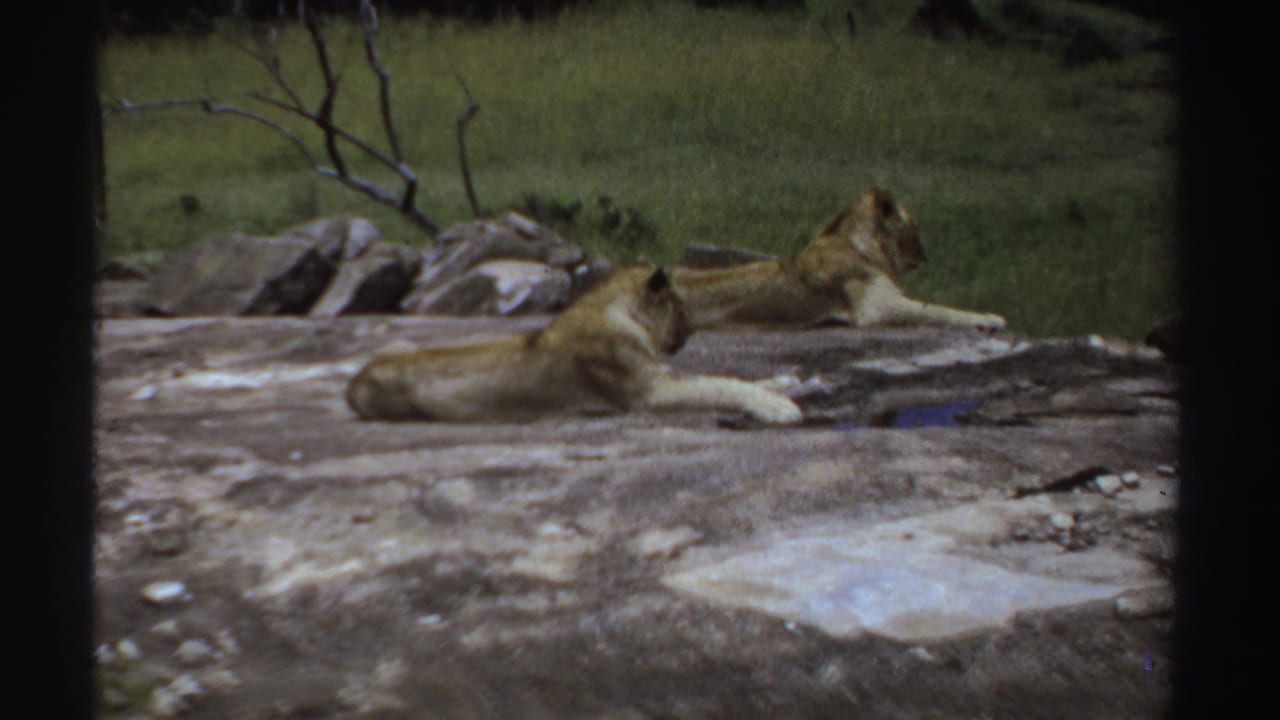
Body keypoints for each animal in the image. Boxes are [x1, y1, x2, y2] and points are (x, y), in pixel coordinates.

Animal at [345, 263, 803, 425]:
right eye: (678, 306)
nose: (687, 334)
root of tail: (352, 383)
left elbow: (731, 375)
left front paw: (785, 384)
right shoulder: (649, 392)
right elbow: (721, 383)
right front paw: (779, 407)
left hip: (399, 343)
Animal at [671, 188, 1007, 331]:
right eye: (914, 227)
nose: (924, 258)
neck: (859, 246)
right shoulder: (876, 308)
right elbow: (940, 310)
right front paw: (990, 319)